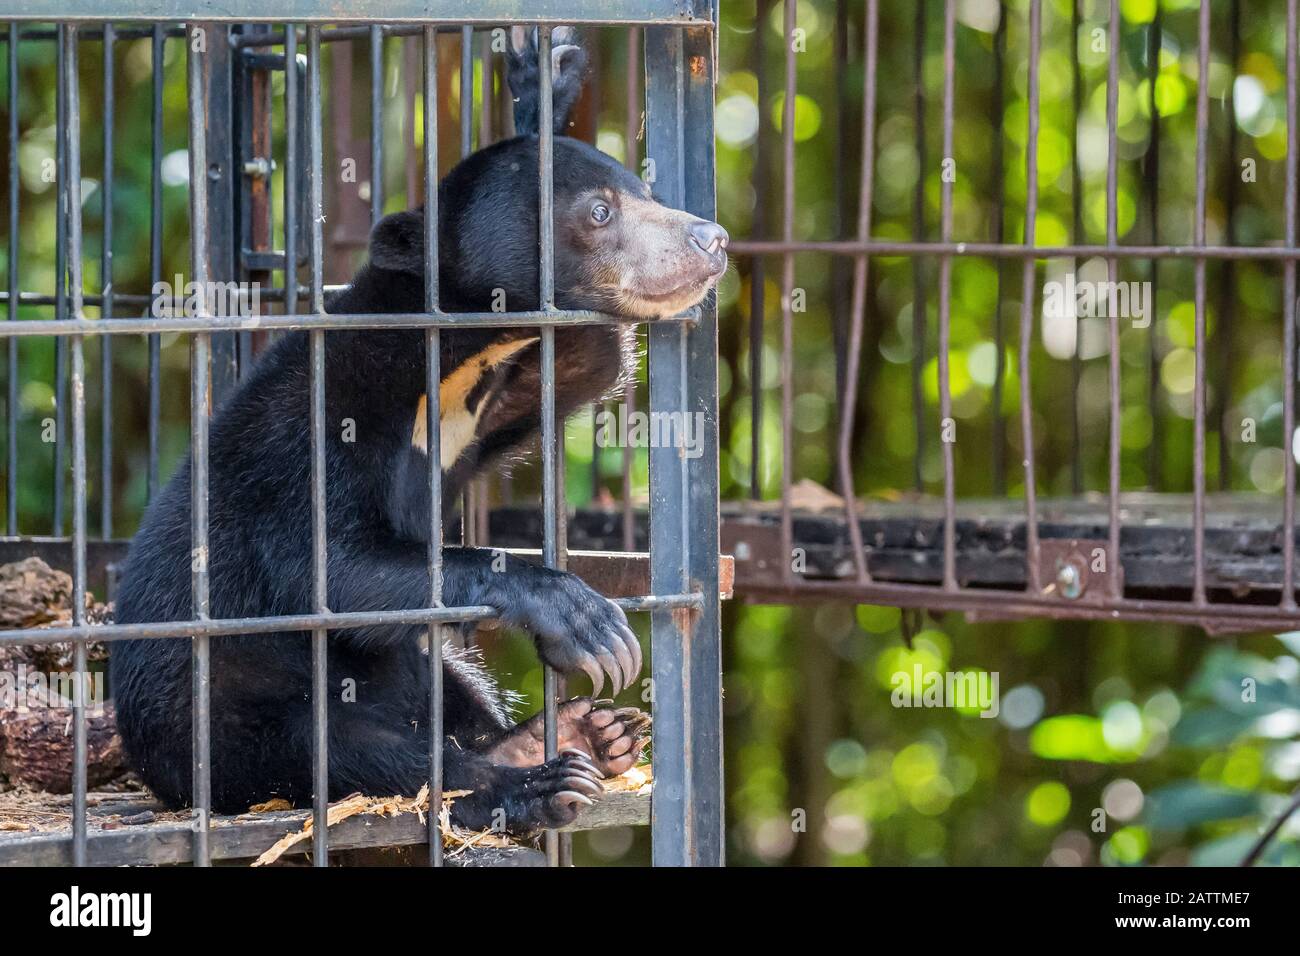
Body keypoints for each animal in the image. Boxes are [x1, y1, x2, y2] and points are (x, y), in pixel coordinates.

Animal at [109, 27, 733, 837]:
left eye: (649, 195)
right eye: (599, 213)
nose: (713, 239)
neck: (446, 369)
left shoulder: (477, 413)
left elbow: (586, 360)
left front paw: (541, 79)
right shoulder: (319, 426)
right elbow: (333, 566)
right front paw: (583, 617)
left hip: (407, 674)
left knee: (444, 683)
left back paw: (575, 734)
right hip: (223, 733)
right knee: (344, 752)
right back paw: (529, 783)